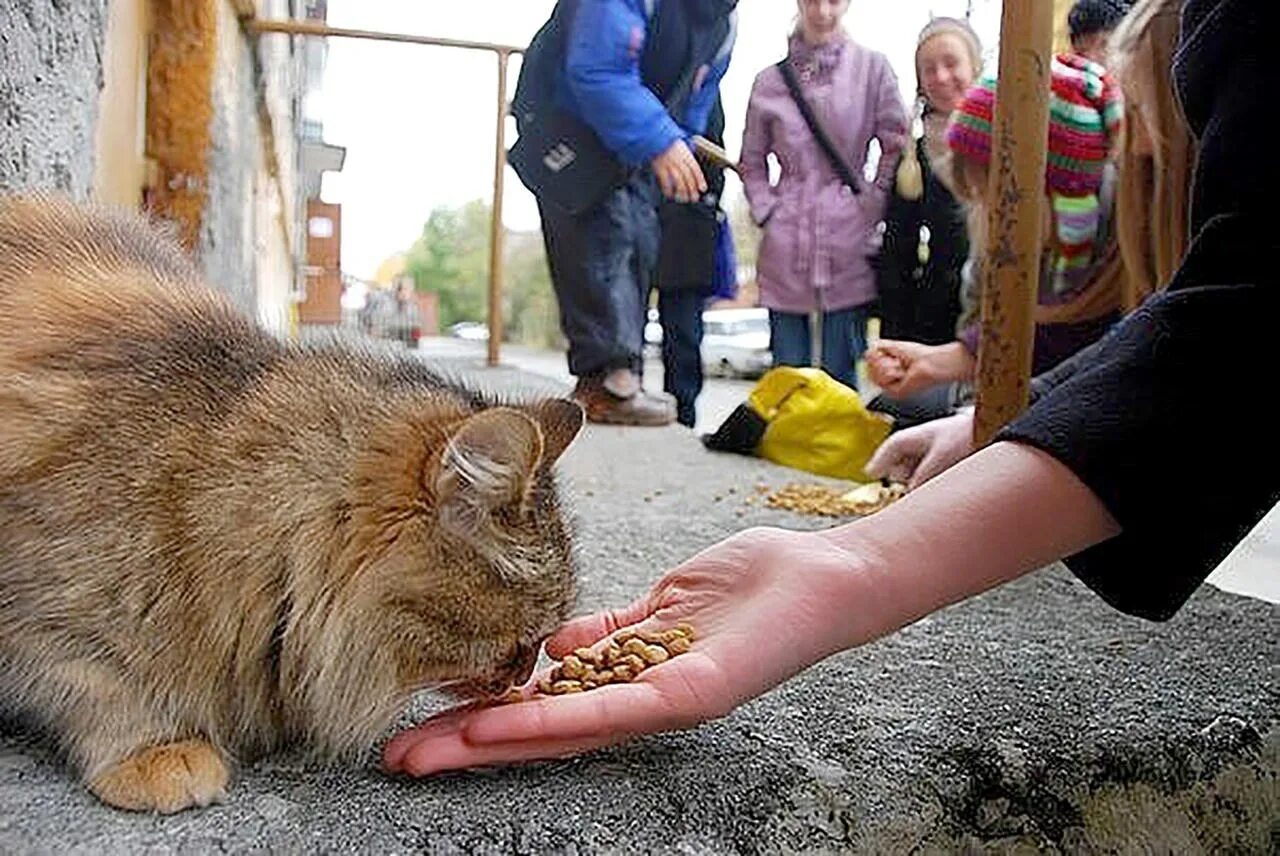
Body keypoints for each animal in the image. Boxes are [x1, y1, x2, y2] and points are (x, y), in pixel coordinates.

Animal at [0, 197, 581, 813]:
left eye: (538, 642)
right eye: (523, 639)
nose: (521, 677)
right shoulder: (46, 612)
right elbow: (103, 685)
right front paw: (160, 751)